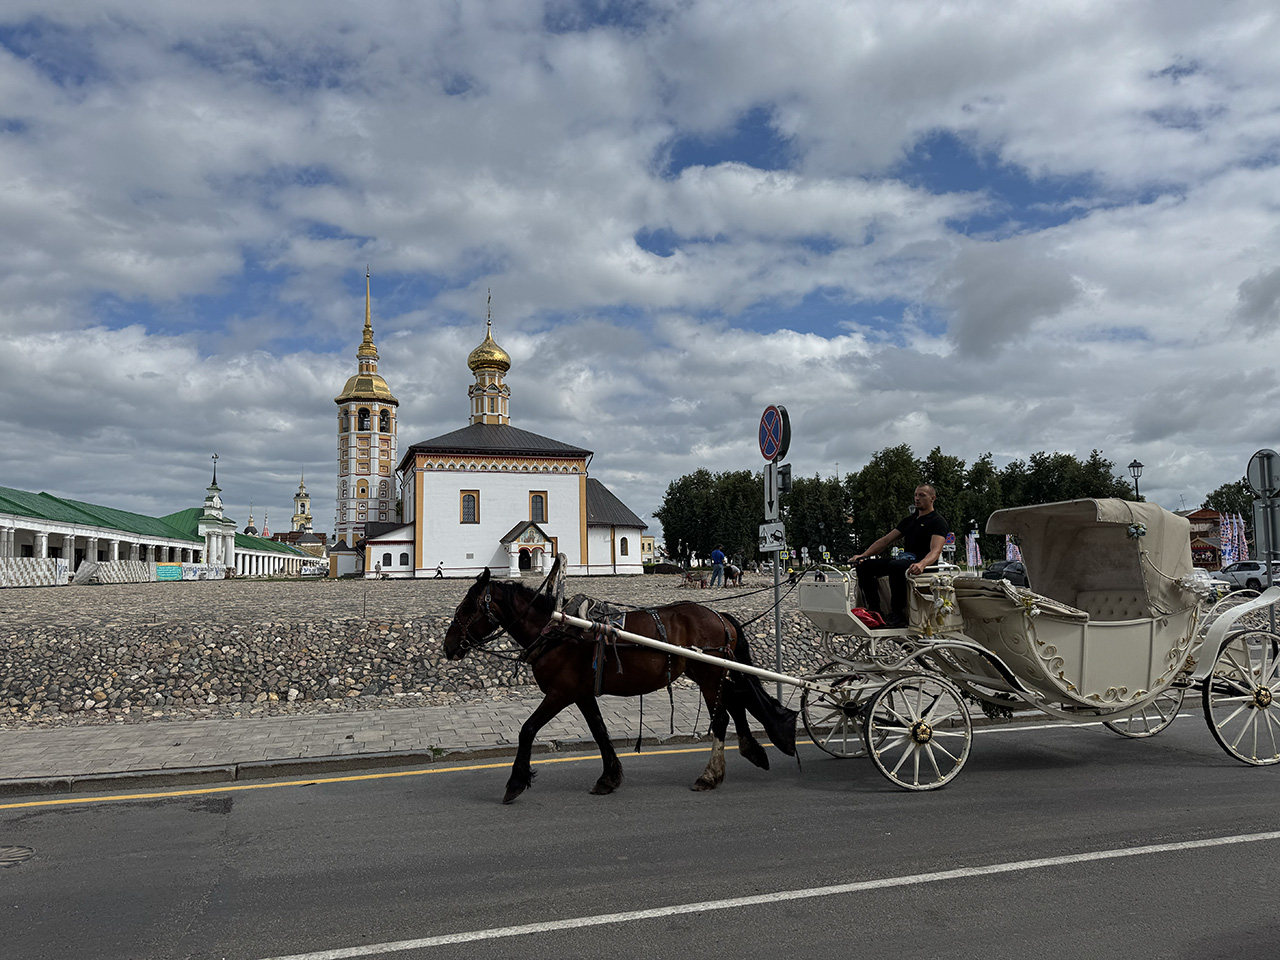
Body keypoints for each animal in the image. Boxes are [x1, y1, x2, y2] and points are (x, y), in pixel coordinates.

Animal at [445, 570, 793, 803]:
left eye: (466, 608)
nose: (448, 646)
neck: (557, 630)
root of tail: (719, 615)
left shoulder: (560, 693)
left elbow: (527, 730)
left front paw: (516, 781)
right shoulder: (582, 694)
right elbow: (600, 732)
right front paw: (609, 777)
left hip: (709, 674)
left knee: (721, 718)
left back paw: (710, 775)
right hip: (708, 672)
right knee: (737, 700)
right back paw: (752, 750)